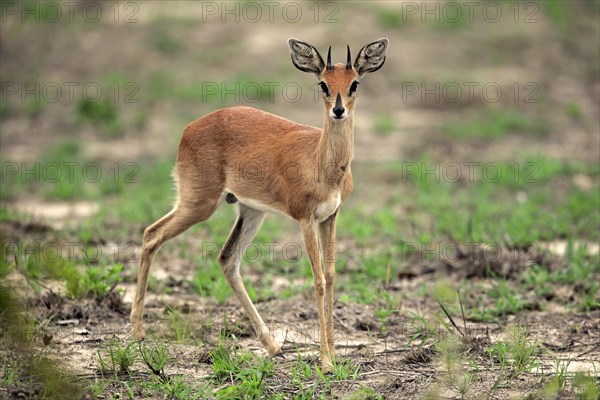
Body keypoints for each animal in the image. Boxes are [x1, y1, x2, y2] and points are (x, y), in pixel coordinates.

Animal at [131, 37, 390, 372]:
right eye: (323, 83)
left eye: (354, 83)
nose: (338, 109)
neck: (322, 164)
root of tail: (189, 128)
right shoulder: (305, 219)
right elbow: (318, 279)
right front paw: (325, 361)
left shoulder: (330, 217)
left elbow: (332, 276)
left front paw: (333, 355)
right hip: (198, 203)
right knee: (151, 234)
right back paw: (137, 331)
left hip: (250, 212)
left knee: (227, 259)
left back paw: (274, 346)